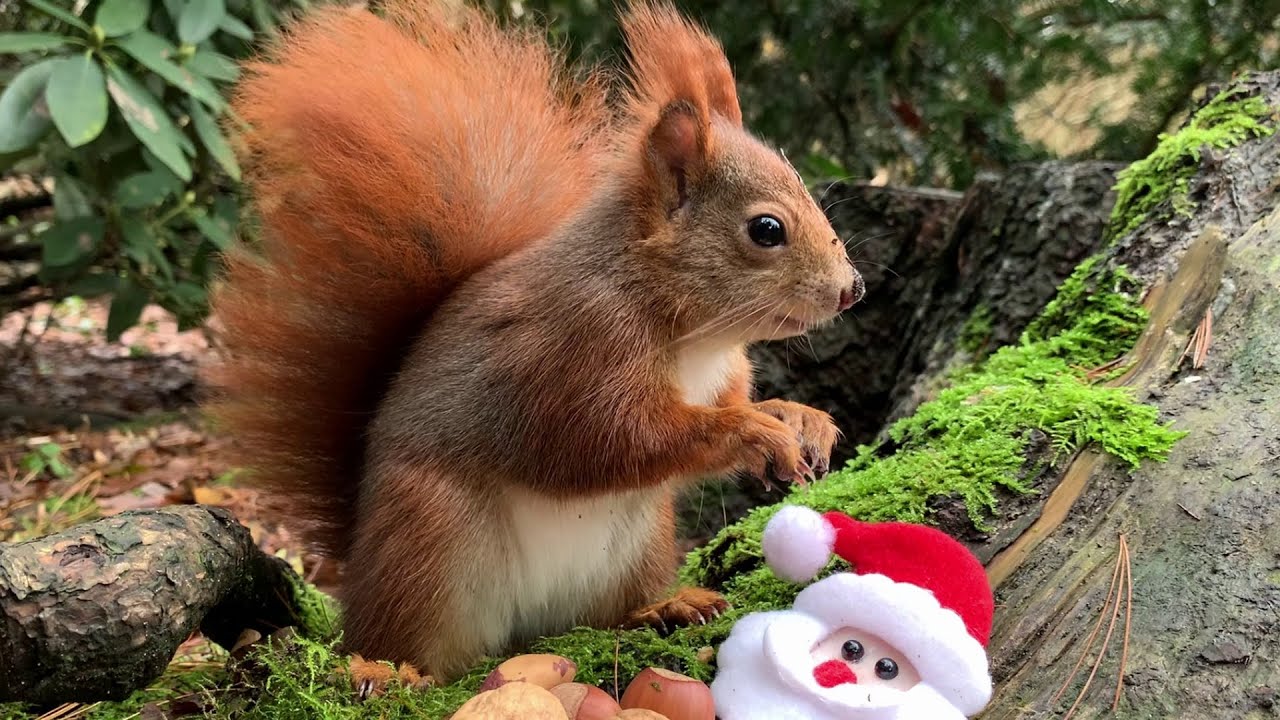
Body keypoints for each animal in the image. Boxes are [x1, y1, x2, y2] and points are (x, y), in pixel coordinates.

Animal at [207, 0, 864, 681]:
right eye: (766, 230)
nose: (853, 289)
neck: (693, 333)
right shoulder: (576, 349)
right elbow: (609, 441)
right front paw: (752, 433)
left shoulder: (723, 374)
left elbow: (734, 404)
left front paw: (800, 418)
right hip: (430, 537)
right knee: (408, 641)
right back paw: (391, 672)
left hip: (639, 542)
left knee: (607, 614)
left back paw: (665, 606)